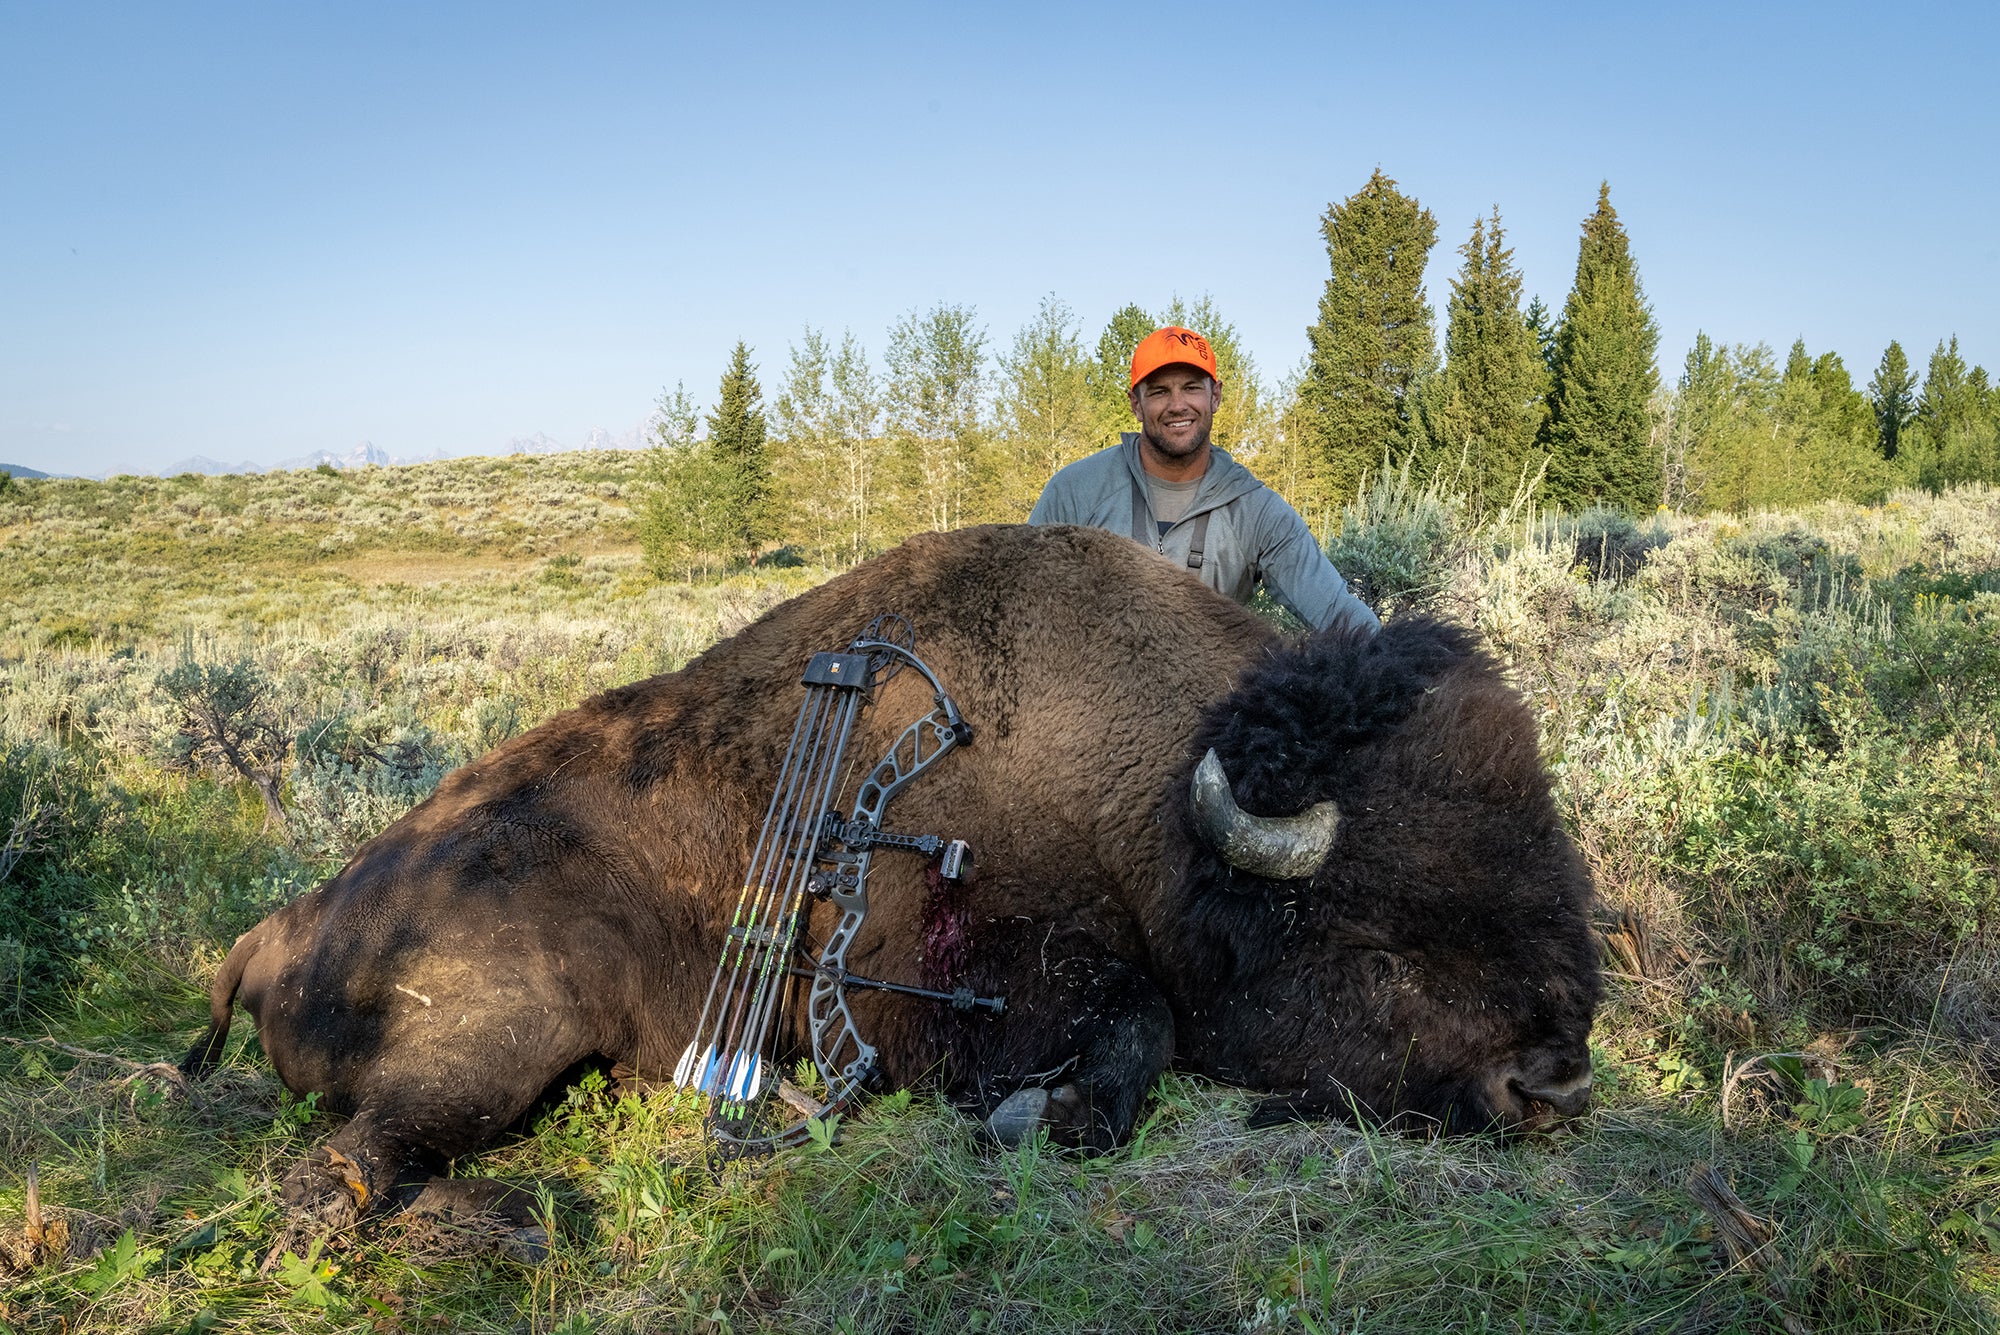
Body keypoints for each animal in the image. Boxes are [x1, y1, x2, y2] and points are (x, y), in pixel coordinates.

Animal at [184, 515, 1592, 1223]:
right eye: (1377, 946)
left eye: (1557, 885)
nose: (1552, 1088)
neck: (1150, 798)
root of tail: (273, 927)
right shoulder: (948, 985)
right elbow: (1126, 1032)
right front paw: (1036, 1122)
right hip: (503, 1030)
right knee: (360, 1161)